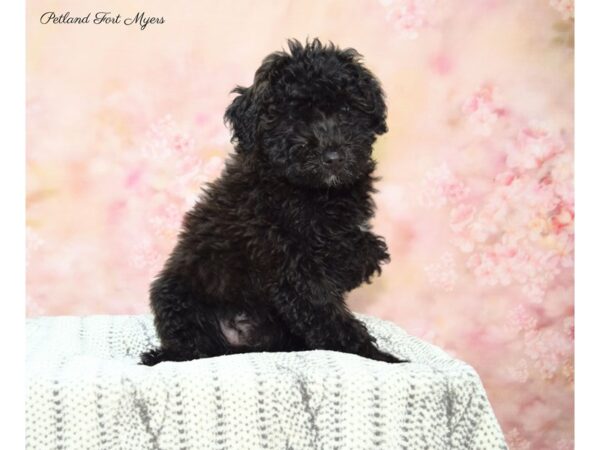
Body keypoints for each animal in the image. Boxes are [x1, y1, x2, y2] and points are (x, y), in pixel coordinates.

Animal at [141, 39, 404, 366]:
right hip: (176, 294)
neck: (312, 192)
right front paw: (378, 356)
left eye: (346, 110)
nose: (332, 157)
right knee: (194, 346)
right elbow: (326, 311)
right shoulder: (292, 266)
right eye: (294, 117)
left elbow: (360, 251)